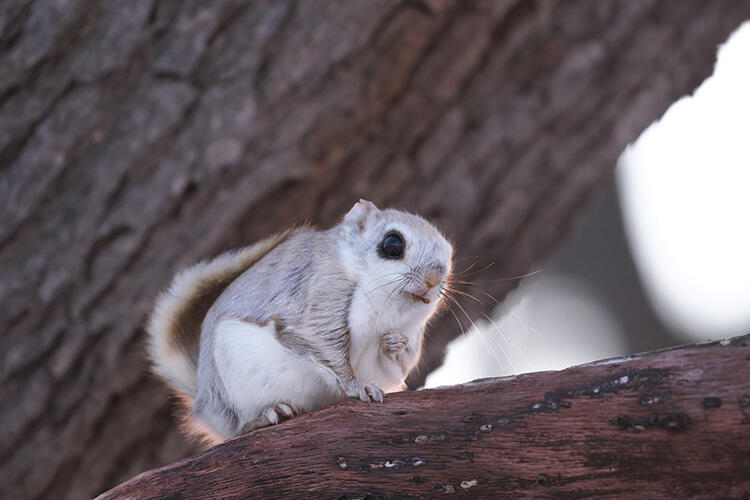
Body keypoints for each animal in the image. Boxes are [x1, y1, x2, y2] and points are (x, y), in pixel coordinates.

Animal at [147, 198, 452, 442]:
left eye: (449, 258)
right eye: (392, 244)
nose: (434, 278)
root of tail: (205, 401)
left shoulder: (408, 338)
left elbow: (393, 368)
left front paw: (392, 343)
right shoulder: (321, 301)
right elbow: (331, 354)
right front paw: (359, 387)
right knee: (238, 429)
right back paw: (269, 413)